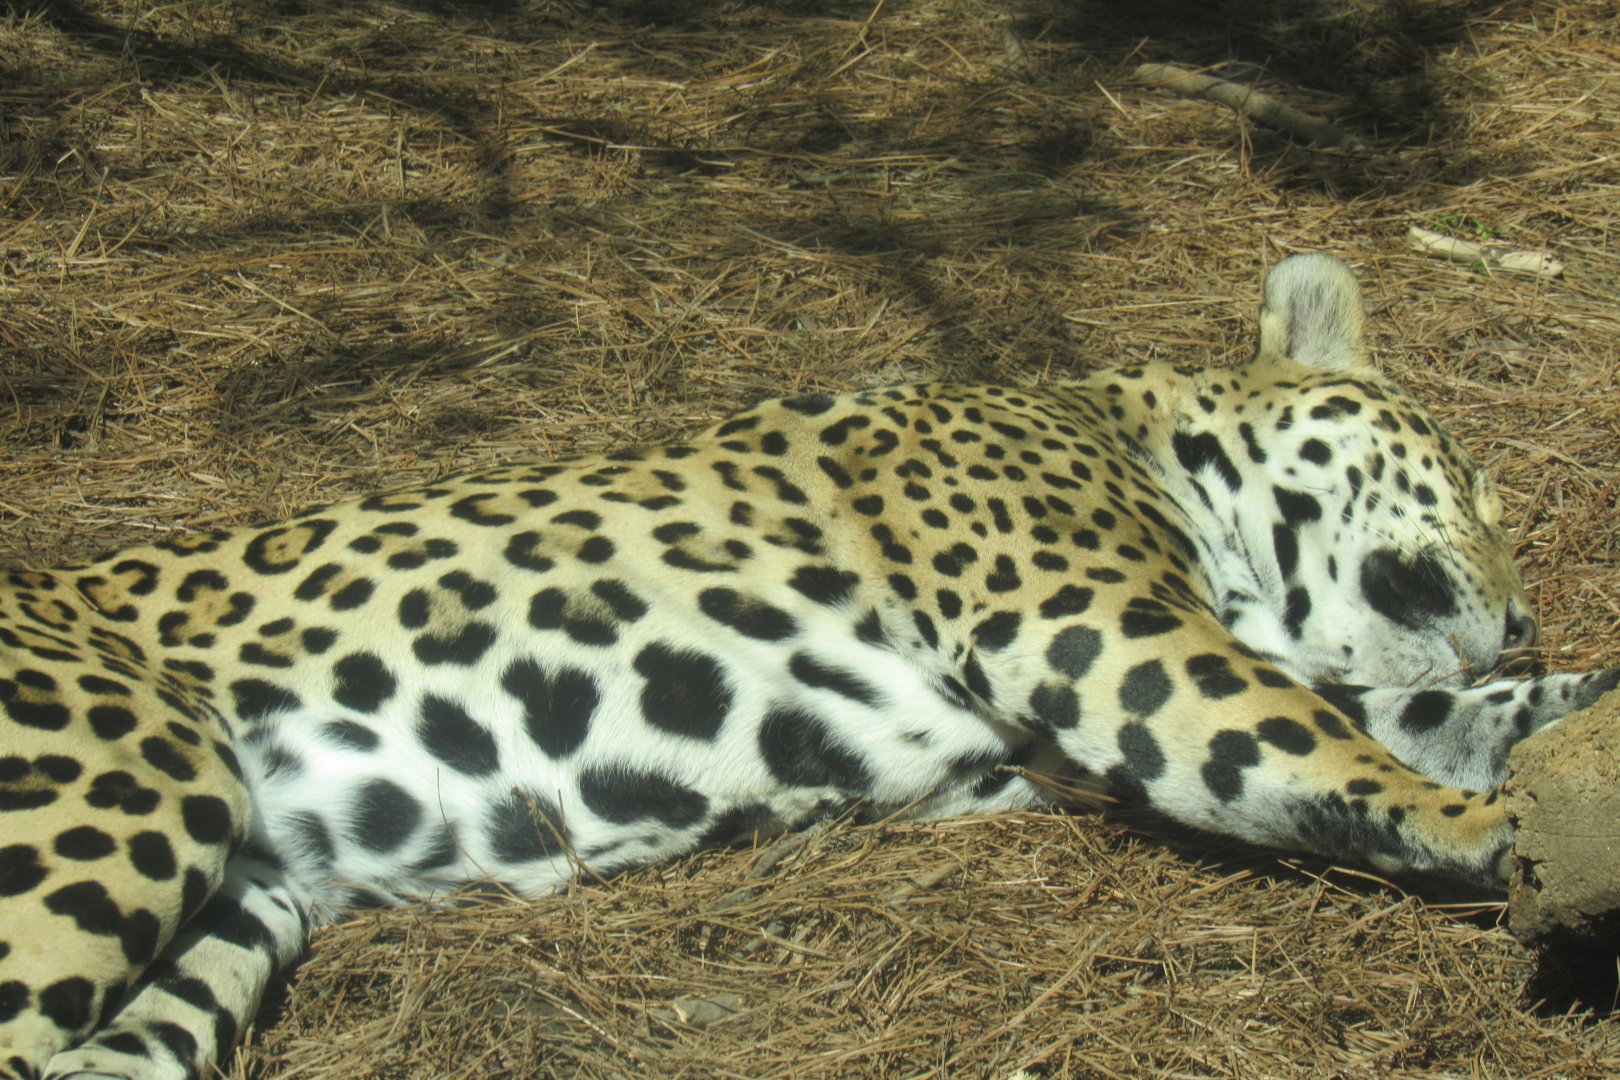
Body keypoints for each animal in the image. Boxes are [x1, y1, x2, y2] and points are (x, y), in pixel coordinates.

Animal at [3, 253, 1617, 1080]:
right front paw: (1507, 838)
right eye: (1472, 479)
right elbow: (1329, 742)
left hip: (235, 915)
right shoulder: (1100, 627)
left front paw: (1568, 726)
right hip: (127, 801)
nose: (1529, 612)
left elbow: (1425, 713)